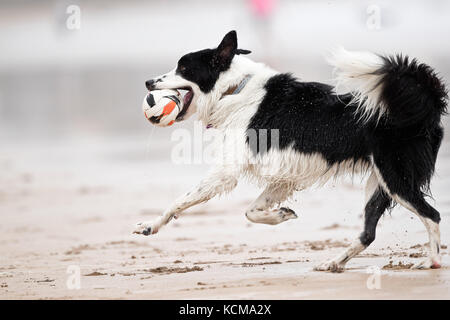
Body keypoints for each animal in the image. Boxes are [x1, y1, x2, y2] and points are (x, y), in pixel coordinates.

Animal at [134, 30, 446, 272]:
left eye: (183, 68)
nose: (148, 82)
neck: (234, 90)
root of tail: (426, 108)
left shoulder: (226, 172)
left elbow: (180, 201)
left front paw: (150, 226)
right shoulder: (284, 178)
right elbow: (251, 212)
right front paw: (281, 215)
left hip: (395, 178)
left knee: (432, 215)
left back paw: (430, 261)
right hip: (379, 183)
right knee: (368, 233)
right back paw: (334, 263)